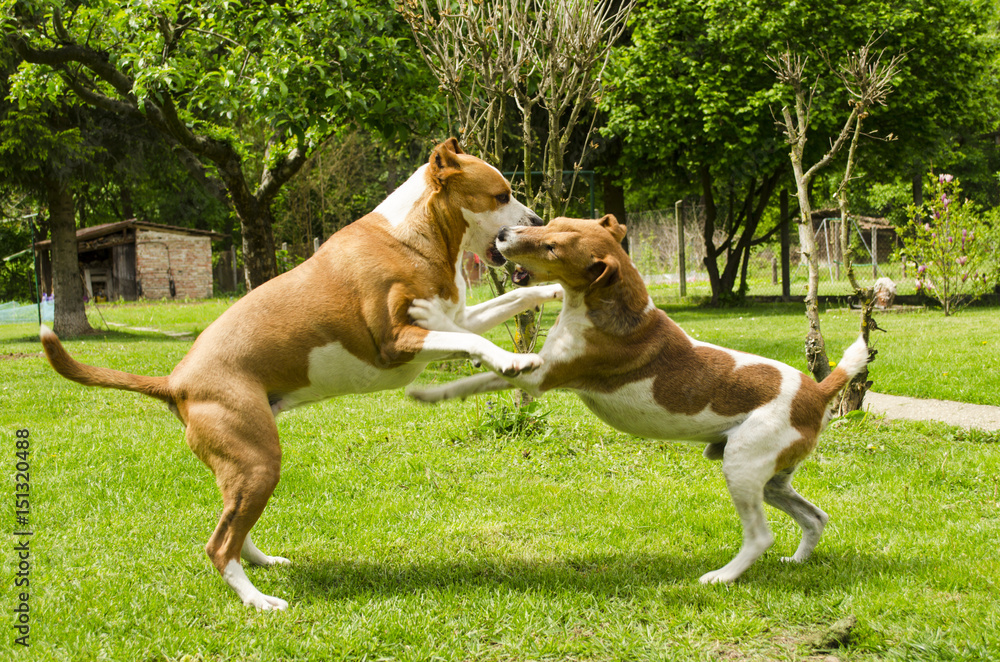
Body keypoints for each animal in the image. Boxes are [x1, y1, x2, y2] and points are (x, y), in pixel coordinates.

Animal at [37, 140, 564, 612]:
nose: (539, 222)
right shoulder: (398, 342)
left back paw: (262, 562)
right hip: (258, 460)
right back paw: (259, 601)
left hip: (245, 465)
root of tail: (175, 381)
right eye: (501, 195)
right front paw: (513, 360)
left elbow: (513, 300)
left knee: (233, 525)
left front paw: (554, 289)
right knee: (219, 545)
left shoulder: (456, 318)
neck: (414, 235)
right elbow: (478, 342)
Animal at [406, 215, 868, 584]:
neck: (603, 305)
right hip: (770, 479)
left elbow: (477, 367)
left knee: (760, 536)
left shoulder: (540, 375)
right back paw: (797, 560)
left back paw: (722, 577)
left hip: (742, 466)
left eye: (553, 246)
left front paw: (428, 375)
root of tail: (818, 390)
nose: (503, 233)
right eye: (550, 222)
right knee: (815, 517)